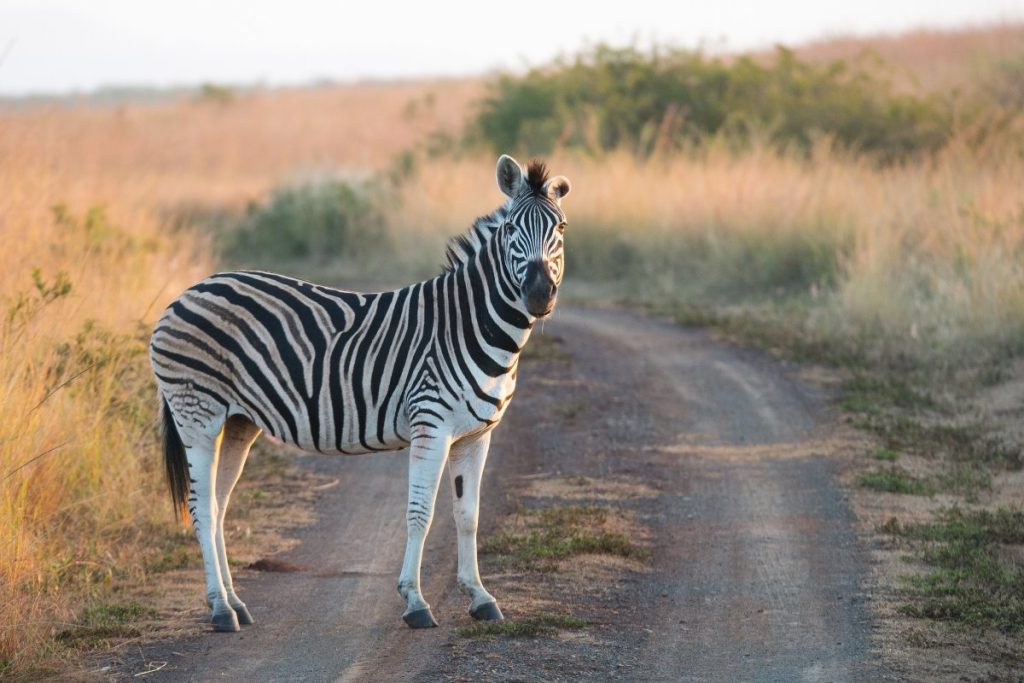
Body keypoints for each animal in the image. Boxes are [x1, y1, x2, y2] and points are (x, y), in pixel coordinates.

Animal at [149, 153, 573, 630]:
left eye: (560, 228)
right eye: (511, 229)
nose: (539, 295)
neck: (470, 324)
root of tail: (187, 293)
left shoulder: (477, 435)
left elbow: (468, 515)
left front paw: (480, 596)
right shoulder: (432, 425)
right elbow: (421, 514)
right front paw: (415, 601)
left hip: (239, 422)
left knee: (218, 505)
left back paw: (235, 603)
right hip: (197, 414)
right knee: (201, 508)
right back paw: (220, 609)